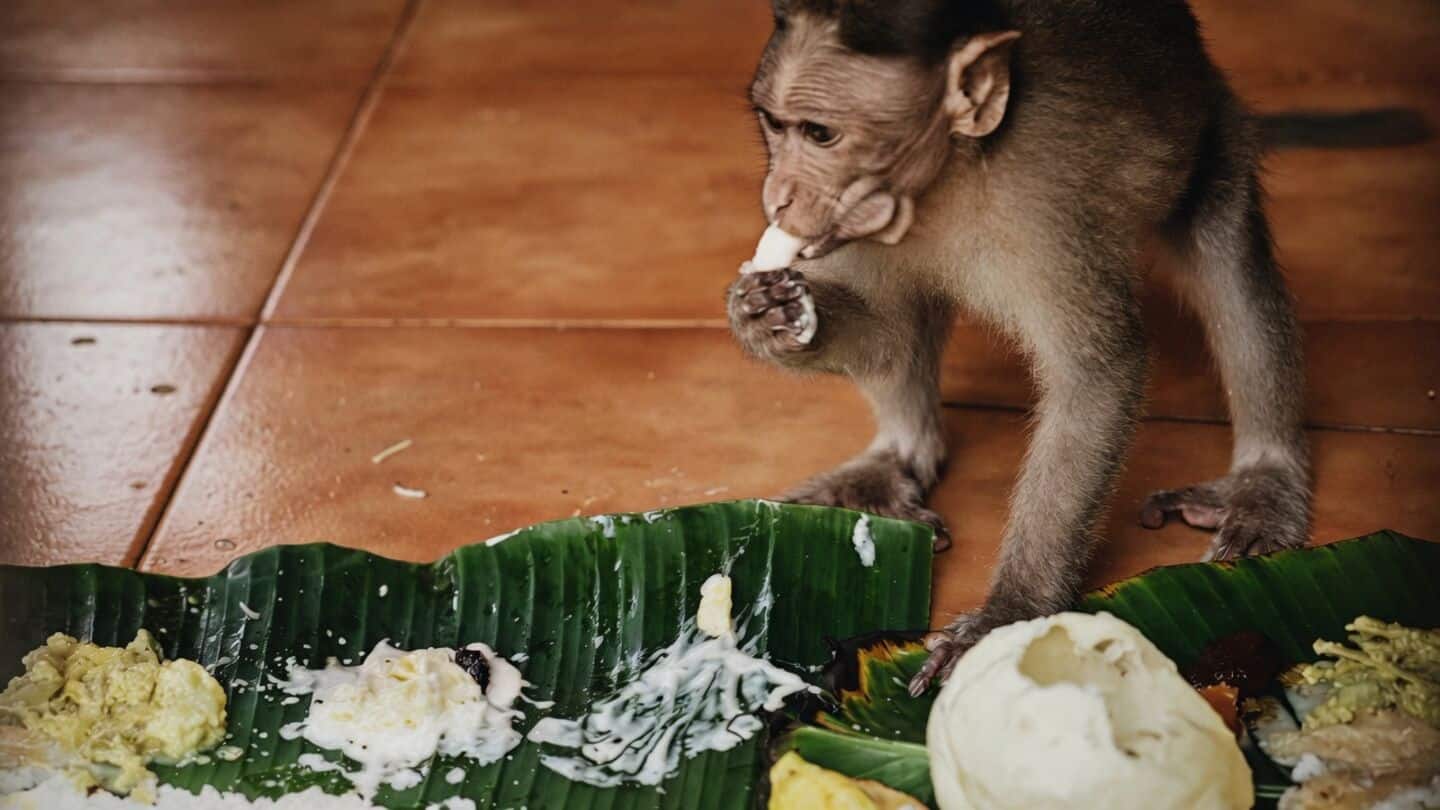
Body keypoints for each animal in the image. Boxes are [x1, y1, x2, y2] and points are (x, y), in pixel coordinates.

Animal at [725, 0, 1312, 694]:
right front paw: (767, 317)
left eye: (820, 134)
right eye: (774, 123)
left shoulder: (1044, 208)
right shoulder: (853, 219)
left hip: (1214, 129)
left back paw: (1265, 476)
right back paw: (898, 457)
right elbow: (890, 334)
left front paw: (1012, 609)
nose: (777, 196)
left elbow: (1098, 371)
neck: (945, 176)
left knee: (1226, 258)